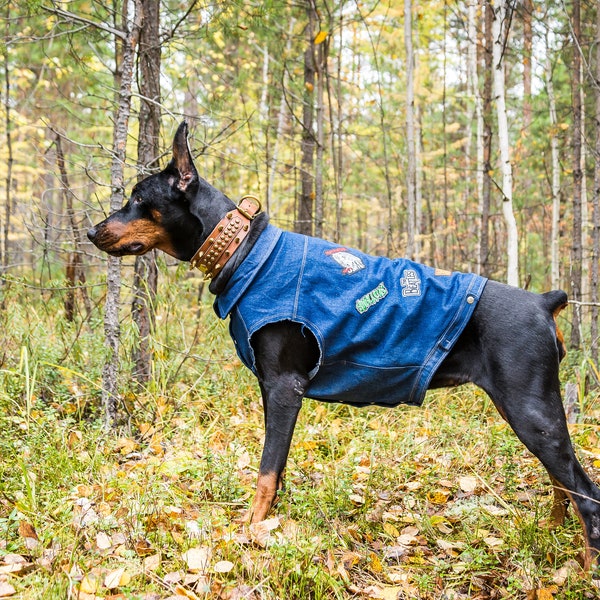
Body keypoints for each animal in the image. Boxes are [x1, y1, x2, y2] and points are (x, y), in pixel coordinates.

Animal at [88, 120, 600, 568]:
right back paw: (552, 532)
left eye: (138, 198)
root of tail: (545, 301)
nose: (93, 230)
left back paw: (584, 568)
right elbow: (278, 472)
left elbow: (265, 474)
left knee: (586, 493)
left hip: (531, 410)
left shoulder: (284, 387)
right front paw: (270, 528)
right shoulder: (274, 390)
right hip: (529, 411)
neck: (245, 253)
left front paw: (249, 533)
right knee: (563, 482)